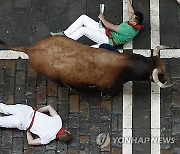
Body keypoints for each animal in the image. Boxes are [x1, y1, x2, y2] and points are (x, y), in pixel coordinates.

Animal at [0, 35, 174, 91]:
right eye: (162, 74)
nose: (169, 81)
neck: (126, 65)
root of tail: (32, 49)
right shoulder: (107, 87)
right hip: (56, 78)